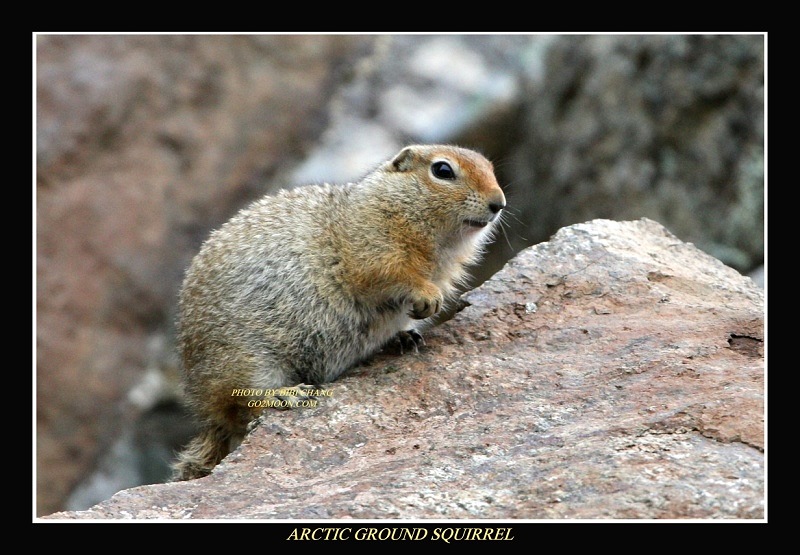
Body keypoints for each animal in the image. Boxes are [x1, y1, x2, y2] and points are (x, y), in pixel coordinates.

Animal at [172, 144, 506, 480]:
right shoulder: (372, 246)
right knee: (239, 402)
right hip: (246, 358)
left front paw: (408, 329)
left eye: (490, 168)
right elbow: (391, 274)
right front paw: (427, 297)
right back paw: (284, 395)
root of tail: (204, 413)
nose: (499, 203)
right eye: (442, 170)